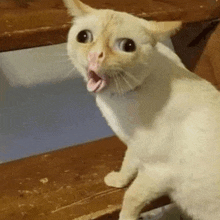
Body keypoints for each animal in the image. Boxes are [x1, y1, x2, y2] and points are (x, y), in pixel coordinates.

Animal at [62, 0, 220, 219]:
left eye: (127, 46)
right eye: (84, 37)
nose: (96, 55)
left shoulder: (158, 171)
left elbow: (131, 197)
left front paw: (126, 216)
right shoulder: (135, 145)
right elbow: (128, 164)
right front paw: (118, 180)